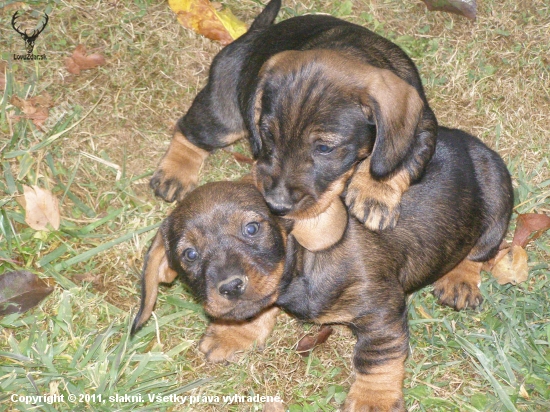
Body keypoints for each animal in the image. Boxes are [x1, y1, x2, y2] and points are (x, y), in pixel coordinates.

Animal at [134, 127, 516, 410]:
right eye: (189, 254)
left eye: (252, 228)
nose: (230, 286)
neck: (303, 270)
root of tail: (476, 146)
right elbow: (259, 306)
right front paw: (234, 333)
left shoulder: (382, 311)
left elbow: (376, 359)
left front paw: (373, 401)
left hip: (494, 214)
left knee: (477, 253)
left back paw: (459, 279)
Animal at [151, 0, 440, 232]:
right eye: (267, 134)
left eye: (324, 148)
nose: (276, 206)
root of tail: (254, 33)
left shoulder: (423, 127)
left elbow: (401, 160)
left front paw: (375, 193)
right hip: (223, 118)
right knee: (190, 130)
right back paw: (175, 172)